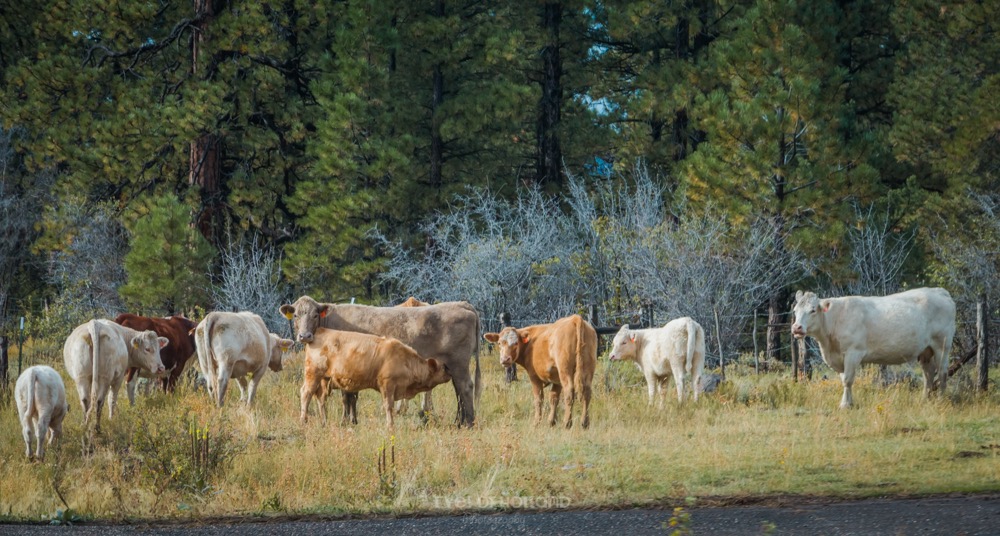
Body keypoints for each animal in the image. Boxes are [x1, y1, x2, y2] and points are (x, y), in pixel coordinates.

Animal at [298, 324, 452, 430]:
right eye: (444, 367)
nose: (450, 372)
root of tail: (320, 331)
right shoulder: (387, 384)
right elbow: (388, 406)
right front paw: (390, 426)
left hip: (324, 379)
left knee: (320, 398)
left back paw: (324, 422)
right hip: (313, 374)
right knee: (306, 393)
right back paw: (303, 420)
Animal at [792, 286, 956, 408]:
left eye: (813, 310)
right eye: (795, 311)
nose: (797, 327)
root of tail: (940, 291)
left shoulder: (853, 352)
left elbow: (848, 380)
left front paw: (845, 404)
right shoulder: (839, 358)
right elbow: (844, 379)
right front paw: (849, 402)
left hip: (942, 345)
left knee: (942, 373)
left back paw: (940, 400)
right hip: (925, 350)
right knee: (929, 373)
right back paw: (924, 400)